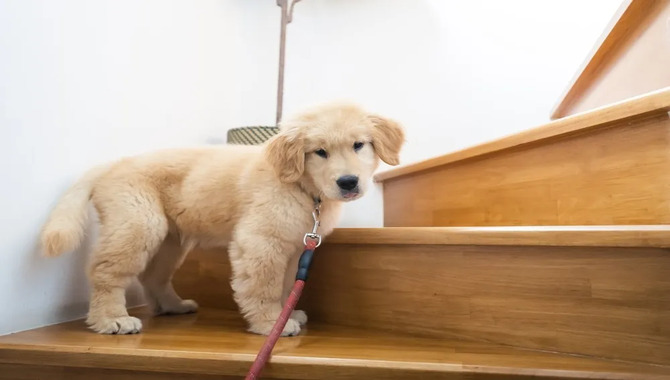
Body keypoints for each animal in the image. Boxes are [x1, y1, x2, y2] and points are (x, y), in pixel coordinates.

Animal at [40, 101, 404, 336]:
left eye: (359, 145)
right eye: (320, 152)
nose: (348, 182)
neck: (302, 187)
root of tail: (112, 164)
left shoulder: (293, 244)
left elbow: (287, 283)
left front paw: (287, 311)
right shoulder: (261, 240)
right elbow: (264, 286)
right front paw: (271, 324)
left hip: (171, 239)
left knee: (153, 276)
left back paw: (173, 305)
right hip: (138, 224)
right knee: (106, 273)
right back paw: (111, 319)